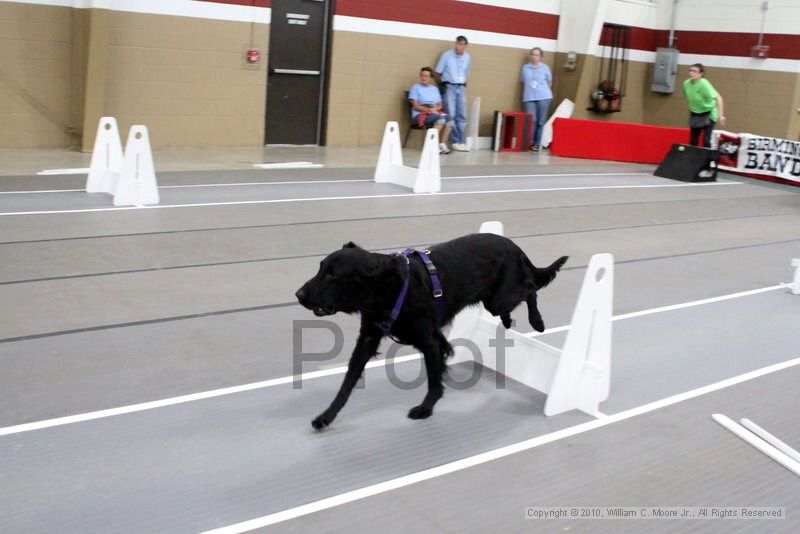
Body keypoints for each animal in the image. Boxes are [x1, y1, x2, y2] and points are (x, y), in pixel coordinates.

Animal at [296, 234, 568, 432]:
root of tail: (513, 245)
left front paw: (425, 408)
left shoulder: (428, 340)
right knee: (522, 294)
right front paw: (326, 416)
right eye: (321, 267)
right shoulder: (369, 338)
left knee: (530, 288)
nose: (298, 295)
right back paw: (509, 320)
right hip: (494, 300)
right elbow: (347, 382)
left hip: (499, 298)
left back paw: (537, 321)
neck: (386, 290)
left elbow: (434, 379)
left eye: (333, 274)